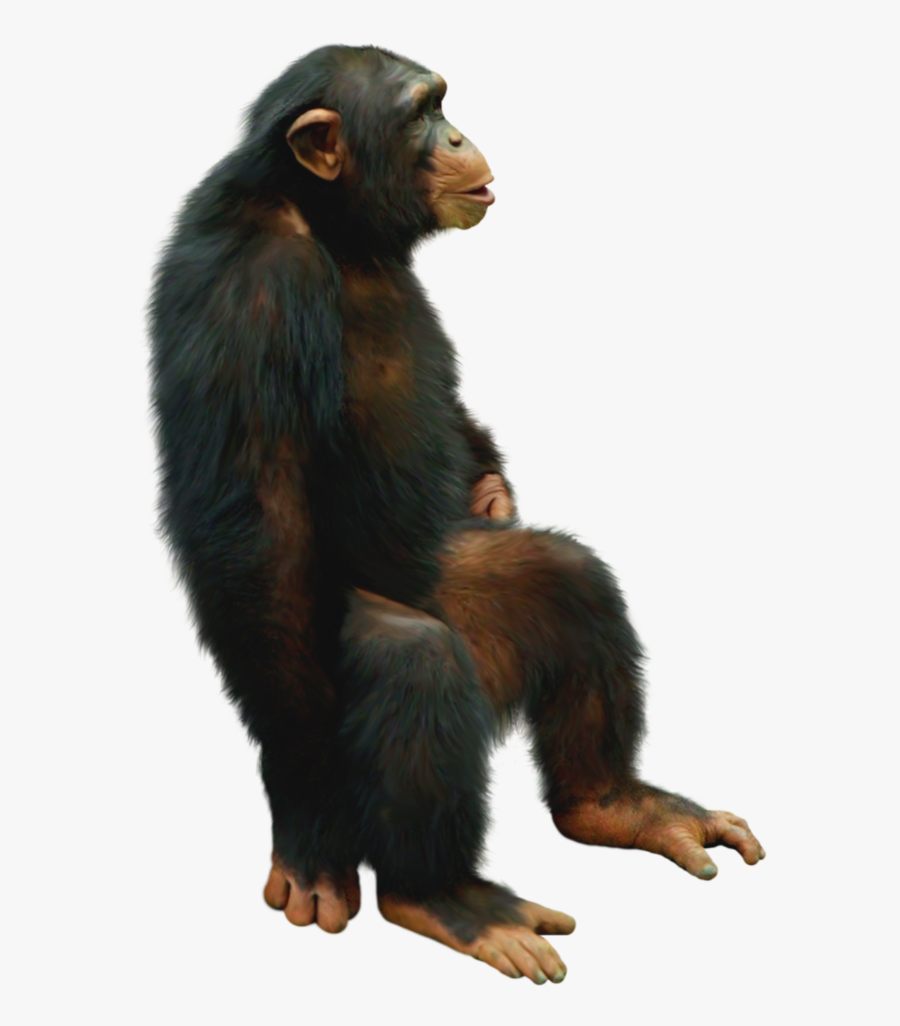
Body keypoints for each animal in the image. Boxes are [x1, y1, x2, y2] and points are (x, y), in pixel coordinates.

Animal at [150, 44, 765, 984]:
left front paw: (494, 492)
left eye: (443, 103)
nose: (456, 134)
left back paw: (616, 804)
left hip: (469, 594)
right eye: (418, 113)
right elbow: (256, 528)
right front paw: (311, 832)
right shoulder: (252, 294)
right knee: (412, 663)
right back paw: (444, 897)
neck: (331, 223)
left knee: (569, 580)